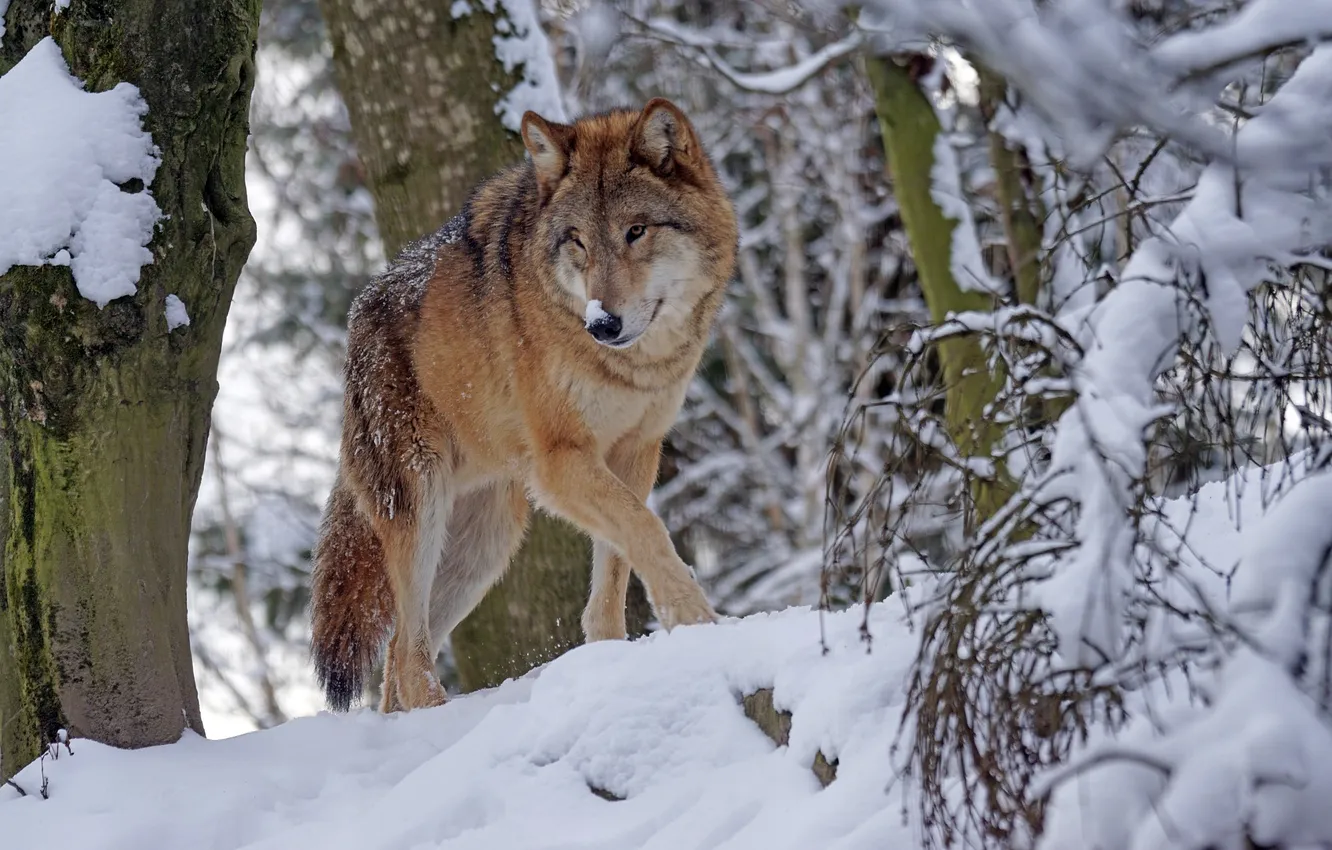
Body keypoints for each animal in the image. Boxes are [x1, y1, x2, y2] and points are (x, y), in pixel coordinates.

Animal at [309, 98, 739, 712]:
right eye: (577, 240)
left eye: (636, 231)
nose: (602, 324)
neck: (633, 367)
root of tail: (356, 318)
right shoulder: (561, 461)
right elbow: (648, 530)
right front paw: (697, 621)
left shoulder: (636, 452)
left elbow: (617, 565)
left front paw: (613, 658)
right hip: (422, 509)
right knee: (408, 657)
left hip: (486, 545)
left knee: (396, 659)